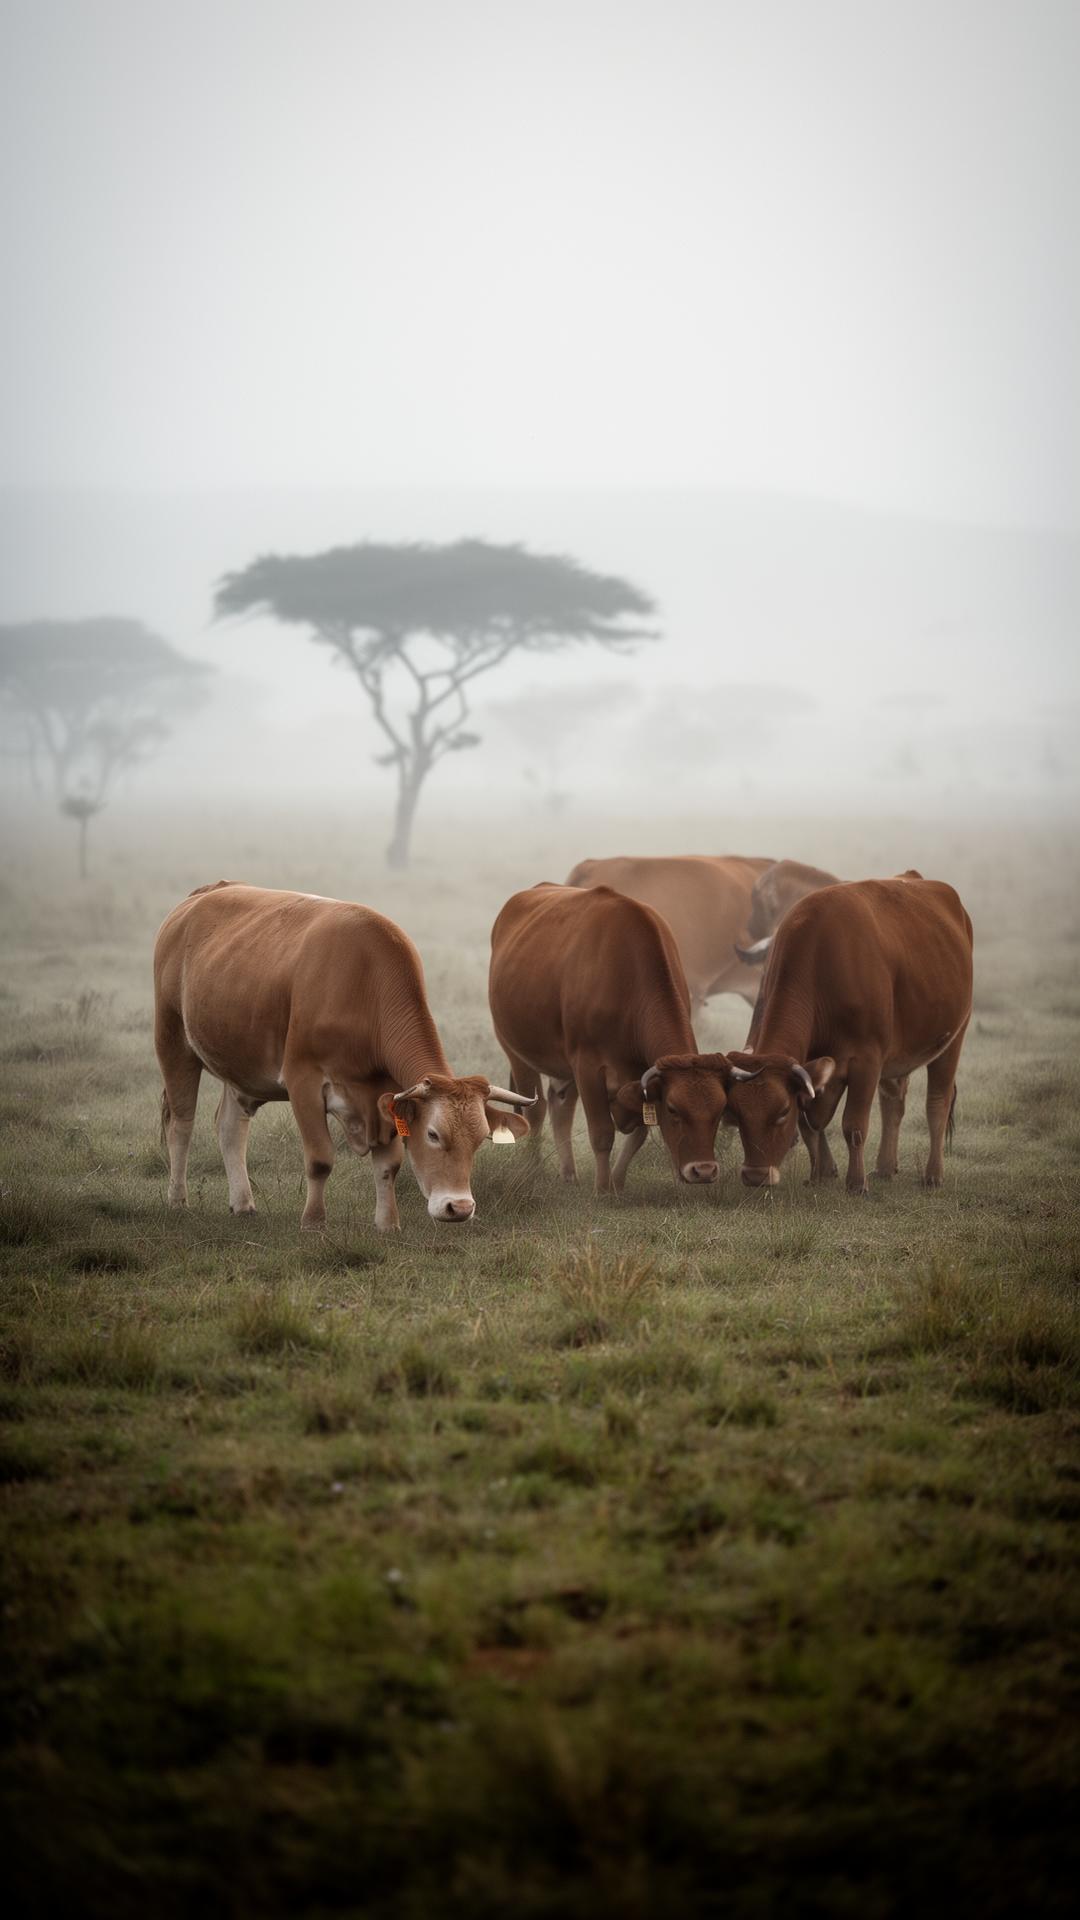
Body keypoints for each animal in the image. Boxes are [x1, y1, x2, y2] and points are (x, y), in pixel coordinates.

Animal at [153, 882, 534, 1232]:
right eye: (433, 1135)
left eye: (480, 1139)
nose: (460, 1207)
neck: (363, 986)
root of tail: (204, 894)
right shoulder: (303, 1082)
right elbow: (320, 1159)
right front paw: (313, 1222)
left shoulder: (385, 1097)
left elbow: (388, 1165)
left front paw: (387, 1224)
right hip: (173, 1042)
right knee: (181, 1123)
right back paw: (177, 1200)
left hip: (239, 1065)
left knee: (231, 1128)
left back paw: (243, 1203)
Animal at [488, 883, 732, 1193]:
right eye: (674, 1109)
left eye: (721, 1109)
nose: (703, 1170)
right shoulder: (588, 1066)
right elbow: (602, 1133)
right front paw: (602, 1188)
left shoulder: (642, 1076)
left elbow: (639, 1132)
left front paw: (617, 1181)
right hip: (514, 1049)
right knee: (536, 1109)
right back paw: (534, 1170)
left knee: (561, 1105)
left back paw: (568, 1173)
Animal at [722, 873, 973, 1194]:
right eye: (738, 1114)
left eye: (782, 1112)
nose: (755, 1175)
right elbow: (810, 1123)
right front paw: (821, 1172)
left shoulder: (867, 1061)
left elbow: (853, 1125)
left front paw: (856, 1182)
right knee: (893, 1101)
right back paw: (885, 1167)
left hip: (953, 1039)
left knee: (937, 1104)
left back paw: (933, 1174)